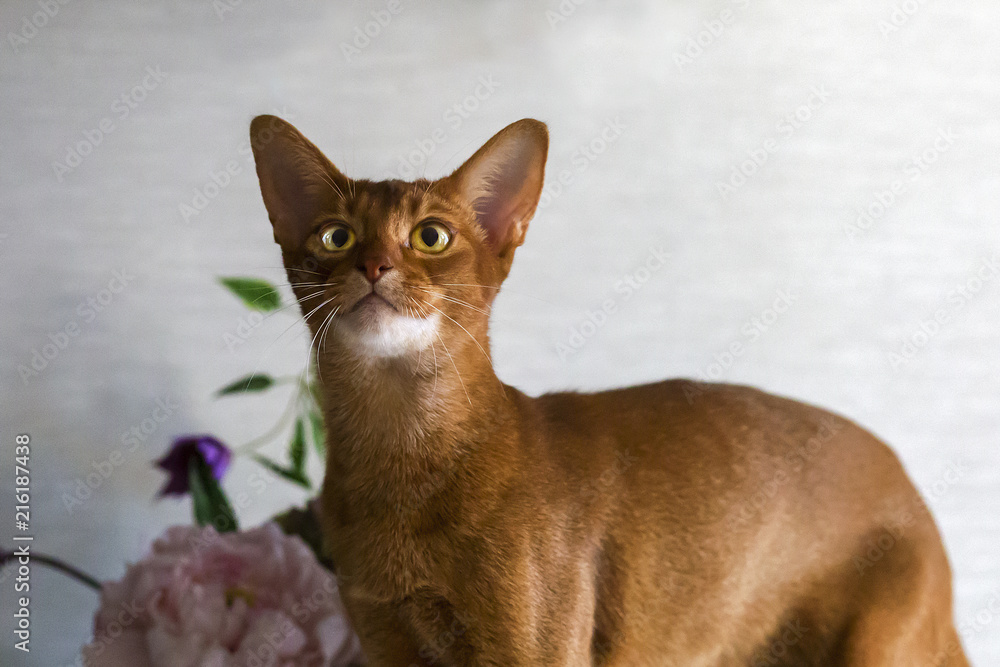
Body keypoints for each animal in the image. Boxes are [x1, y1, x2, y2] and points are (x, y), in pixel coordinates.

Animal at [248, 116, 968, 667]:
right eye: (335, 235)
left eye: (431, 236)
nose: (373, 266)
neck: (400, 467)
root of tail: (912, 490)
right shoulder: (384, 636)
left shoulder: (532, 649)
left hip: (878, 640)